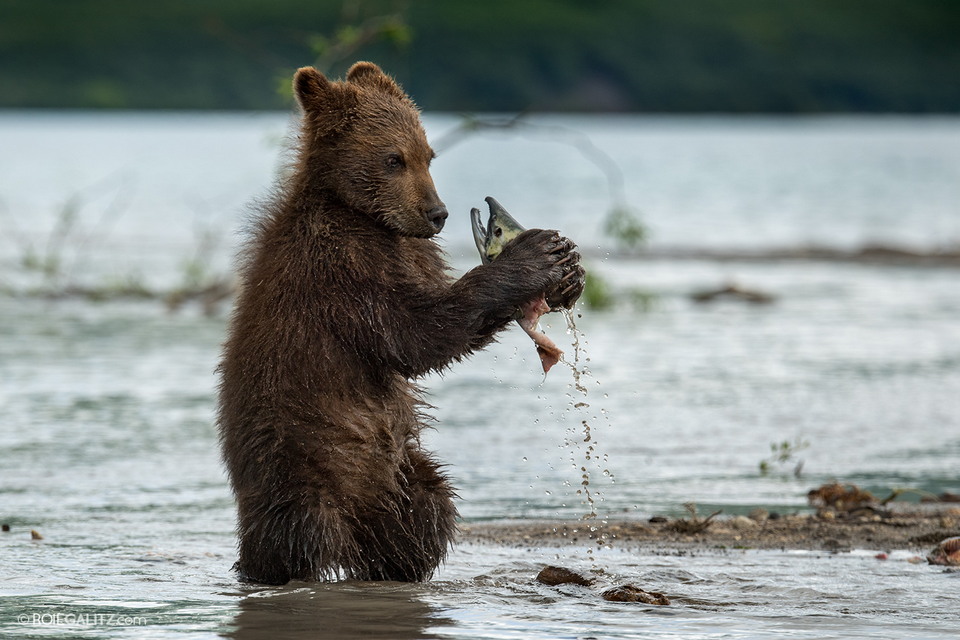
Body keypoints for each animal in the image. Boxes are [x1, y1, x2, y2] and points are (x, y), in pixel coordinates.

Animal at [218, 61, 584, 584]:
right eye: (394, 159)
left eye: (427, 155)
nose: (437, 213)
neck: (366, 218)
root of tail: (356, 508)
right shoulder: (337, 267)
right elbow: (410, 333)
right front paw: (531, 257)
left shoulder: (410, 252)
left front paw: (567, 265)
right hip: (298, 460)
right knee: (299, 534)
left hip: (400, 470)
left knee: (426, 512)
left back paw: (400, 564)